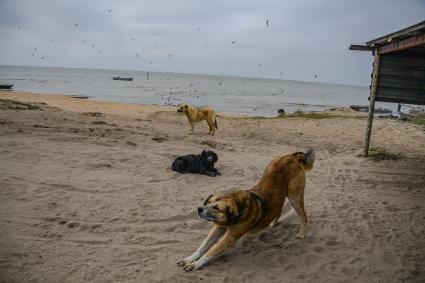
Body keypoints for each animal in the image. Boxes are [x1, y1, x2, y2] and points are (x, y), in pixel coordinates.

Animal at [176, 150, 314, 272]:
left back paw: (302, 233)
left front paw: (196, 264)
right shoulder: (218, 227)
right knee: (278, 208)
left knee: (303, 216)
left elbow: (210, 252)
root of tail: (292, 155)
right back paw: (273, 222)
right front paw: (190, 259)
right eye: (208, 202)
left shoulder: (230, 237)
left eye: (217, 207)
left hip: (294, 196)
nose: (199, 209)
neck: (237, 210)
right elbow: (203, 246)